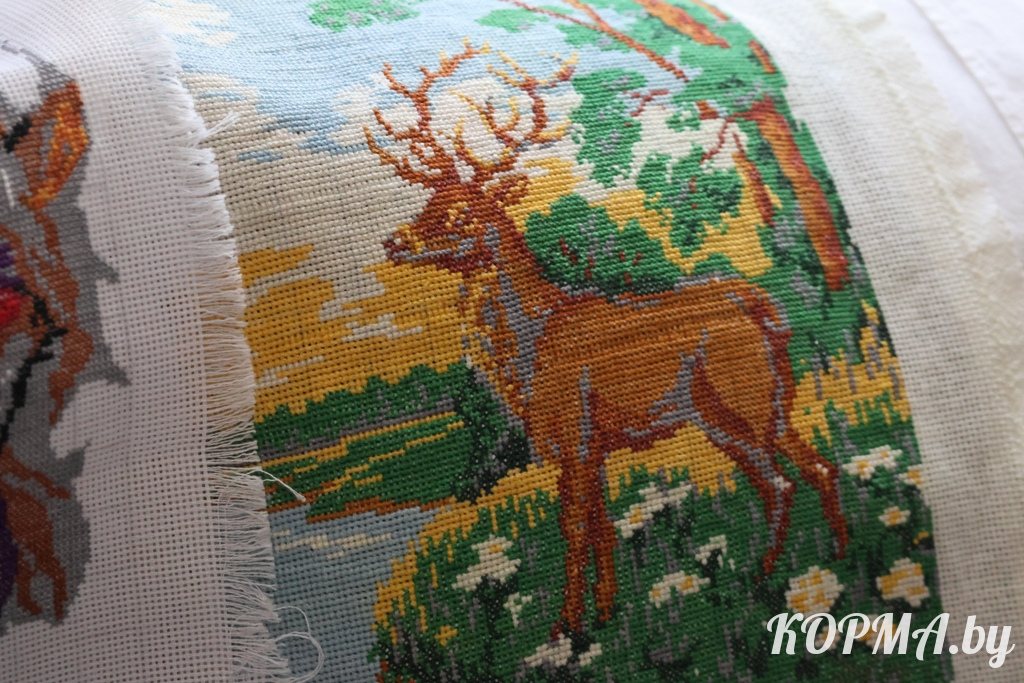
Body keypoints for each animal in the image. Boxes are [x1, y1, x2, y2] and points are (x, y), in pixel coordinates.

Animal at [364, 41, 848, 635]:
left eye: (460, 213)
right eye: (425, 204)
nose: (394, 241)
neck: (530, 353)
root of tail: (764, 310)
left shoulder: (572, 434)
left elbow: (573, 524)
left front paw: (567, 627)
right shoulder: (591, 445)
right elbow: (602, 522)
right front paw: (607, 610)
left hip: (746, 394)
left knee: (783, 480)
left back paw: (769, 574)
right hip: (742, 409)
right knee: (809, 469)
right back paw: (830, 558)